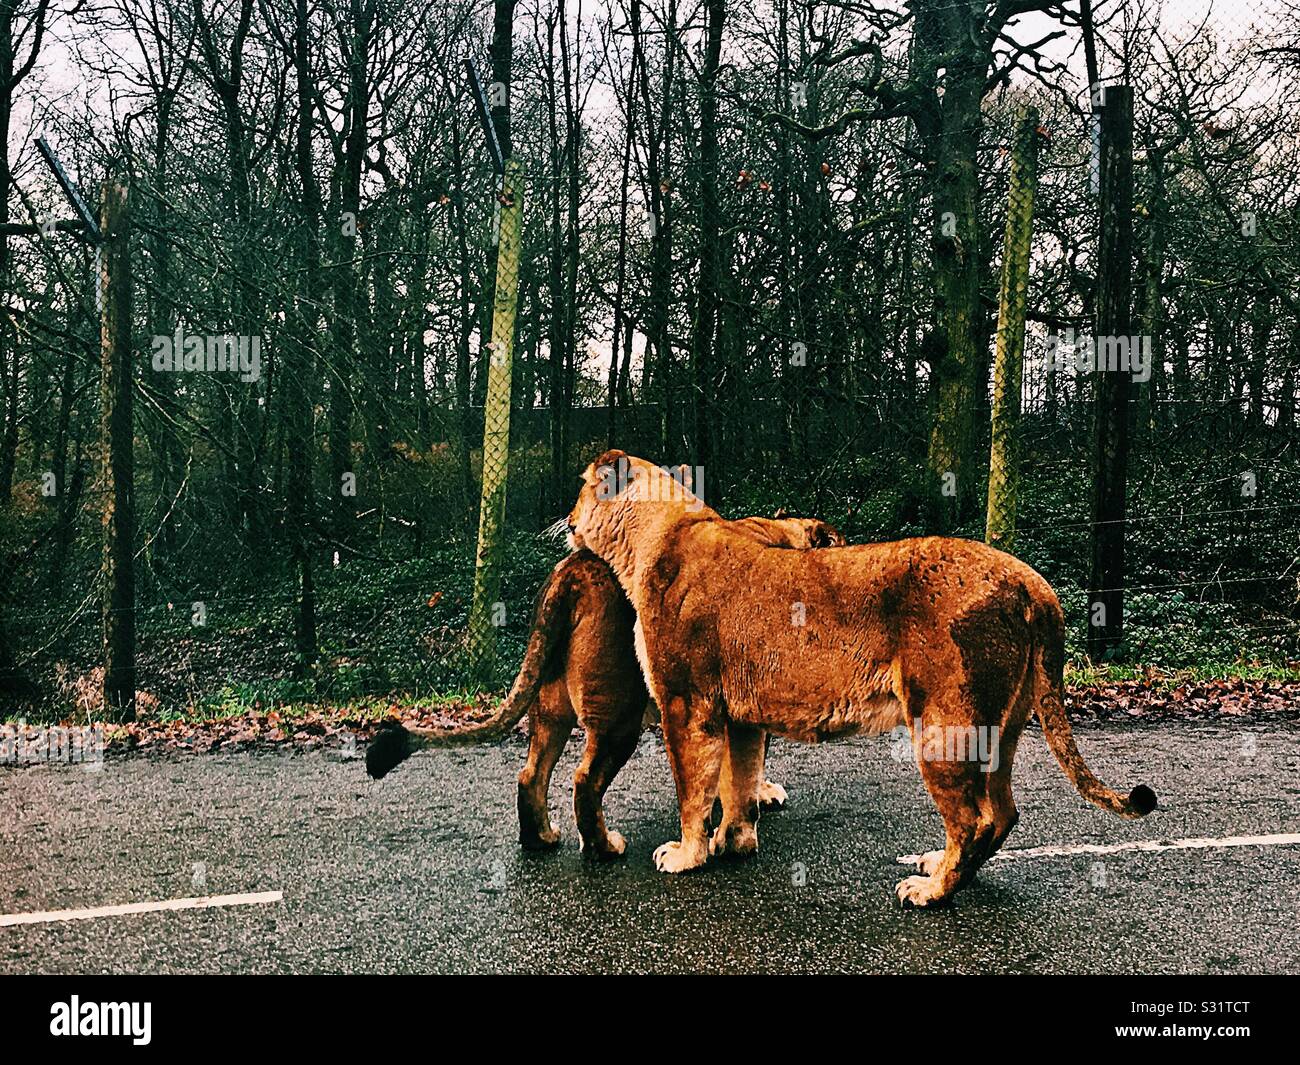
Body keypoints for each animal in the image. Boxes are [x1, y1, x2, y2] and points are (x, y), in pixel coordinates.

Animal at [366, 505, 843, 860]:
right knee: (584, 781)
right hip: (618, 718)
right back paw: (604, 846)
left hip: (550, 710)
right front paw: (759, 797)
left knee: (530, 775)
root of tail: (571, 572)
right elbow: (749, 761)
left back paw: (542, 838)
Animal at [566, 451, 1156, 907]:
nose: (565, 520)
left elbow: (693, 790)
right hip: (1001, 726)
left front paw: (687, 854)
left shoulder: (687, 703)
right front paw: (733, 842)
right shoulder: (739, 714)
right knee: (1003, 812)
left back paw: (931, 891)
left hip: (944, 722)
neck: (653, 535)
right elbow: (739, 783)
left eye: (581, 489)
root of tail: (1033, 582)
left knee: (974, 818)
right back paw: (937, 866)